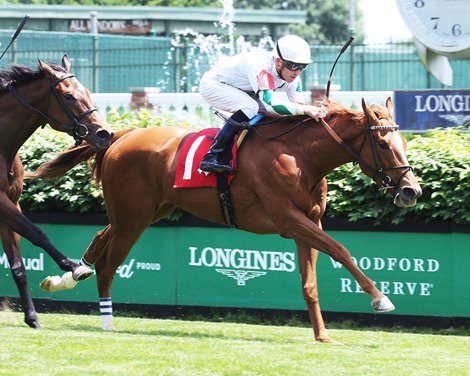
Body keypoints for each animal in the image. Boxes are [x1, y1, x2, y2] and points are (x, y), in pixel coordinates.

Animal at [0, 54, 114, 328]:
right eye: (68, 96)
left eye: (87, 92)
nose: (104, 134)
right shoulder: (0, 202)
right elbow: (37, 233)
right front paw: (74, 267)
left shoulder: (12, 202)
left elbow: (18, 266)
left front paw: (32, 317)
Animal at [32, 97, 422, 344]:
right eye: (383, 145)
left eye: (403, 141)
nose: (411, 191)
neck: (301, 155)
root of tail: (122, 135)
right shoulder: (288, 220)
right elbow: (341, 250)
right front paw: (380, 299)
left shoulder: (308, 223)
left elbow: (310, 283)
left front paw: (322, 335)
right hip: (134, 217)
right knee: (109, 264)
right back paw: (107, 320)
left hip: (147, 211)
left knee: (100, 238)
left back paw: (65, 278)